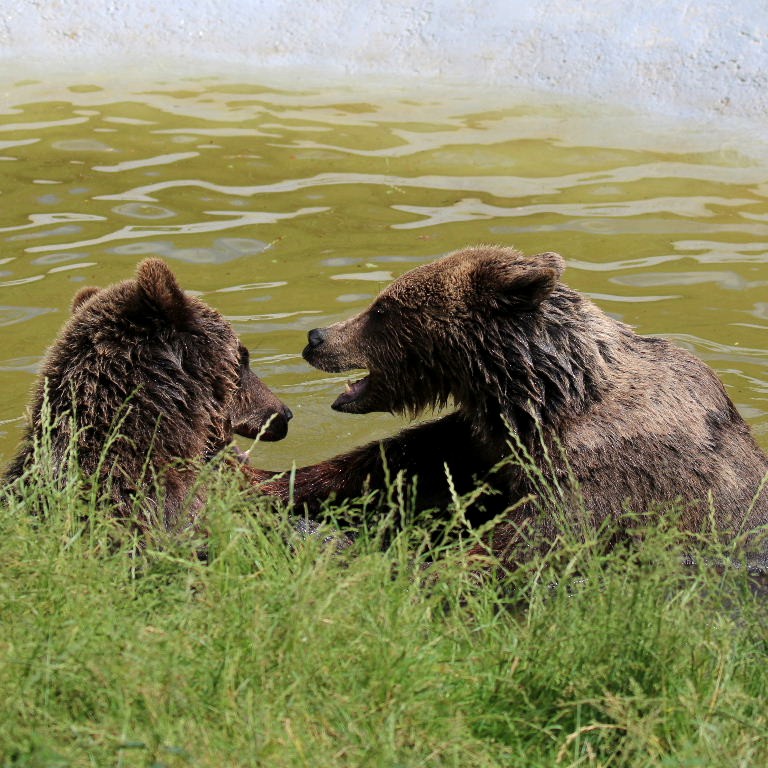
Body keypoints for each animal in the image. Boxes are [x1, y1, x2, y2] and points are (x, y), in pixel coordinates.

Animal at [256, 249, 768, 568]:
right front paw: (267, 481)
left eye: (382, 309)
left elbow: (532, 537)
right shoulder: (484, 442)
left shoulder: (608, 468)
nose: (316, 337)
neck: (541, 396)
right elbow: (393, 465)